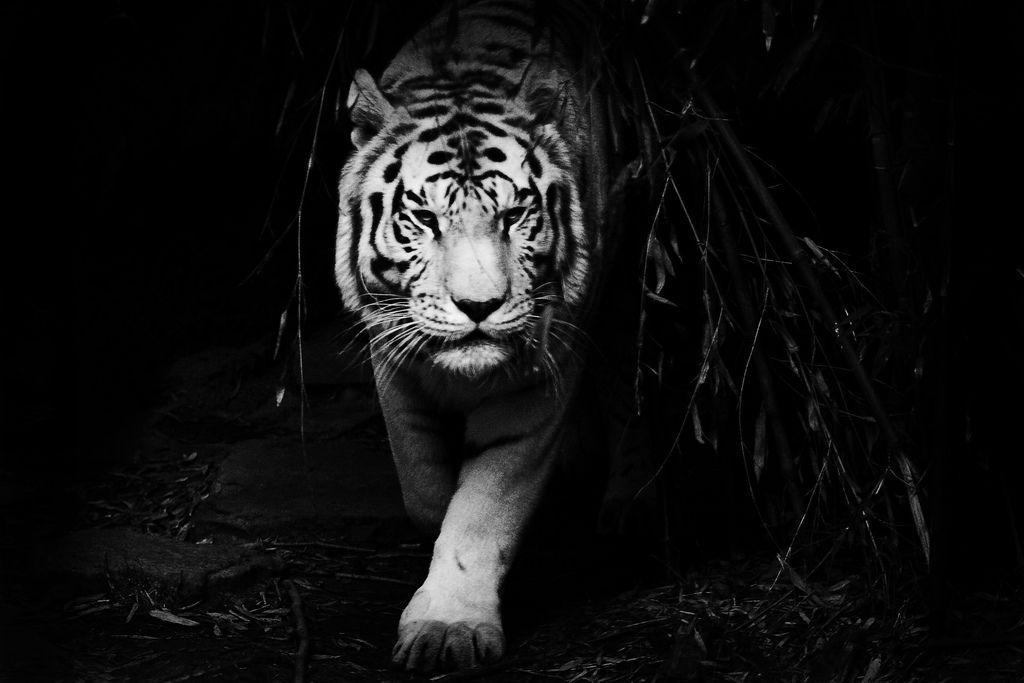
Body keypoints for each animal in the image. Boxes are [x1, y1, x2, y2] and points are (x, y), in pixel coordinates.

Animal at [335, 0, 622, 671]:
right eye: (423, 218)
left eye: (514, 215)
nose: (479, 306)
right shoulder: (392, 358)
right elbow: (423, 485)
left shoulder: (542, 372)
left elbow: (483, 507)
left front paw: (448, 627)